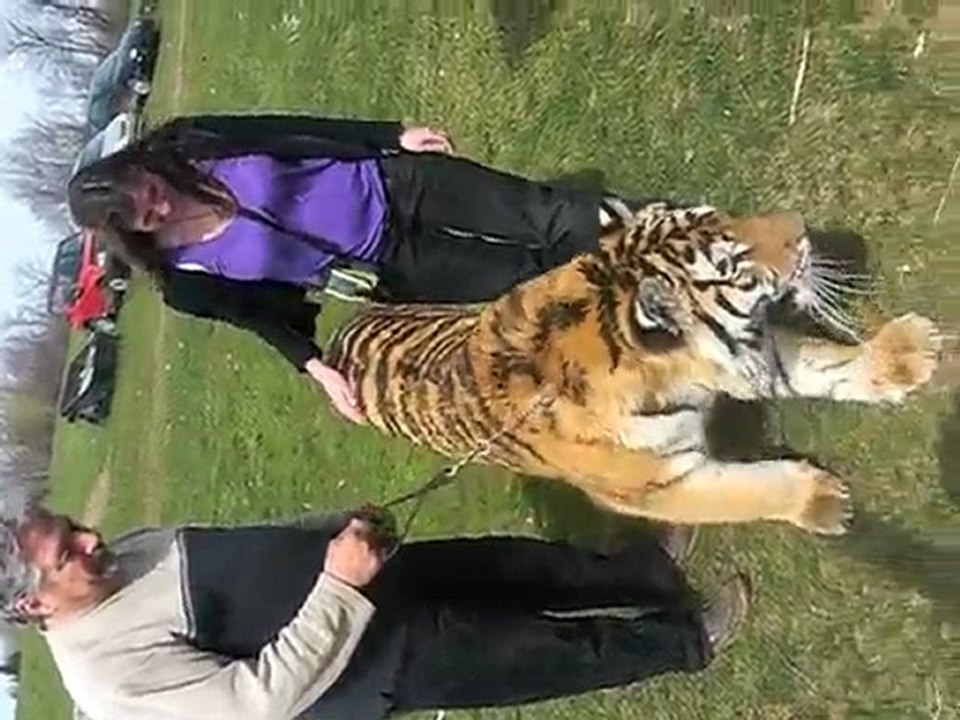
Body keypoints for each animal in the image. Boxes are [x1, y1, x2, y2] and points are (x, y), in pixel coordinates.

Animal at [327, 203, 941, 535]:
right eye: (733, 263)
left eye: (721, 214)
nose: (801, 227)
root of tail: (340, 334)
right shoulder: (659, 487)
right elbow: (748, 492)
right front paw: (820, 501)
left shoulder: (751, 352)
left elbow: (819, 362)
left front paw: (908, 354)